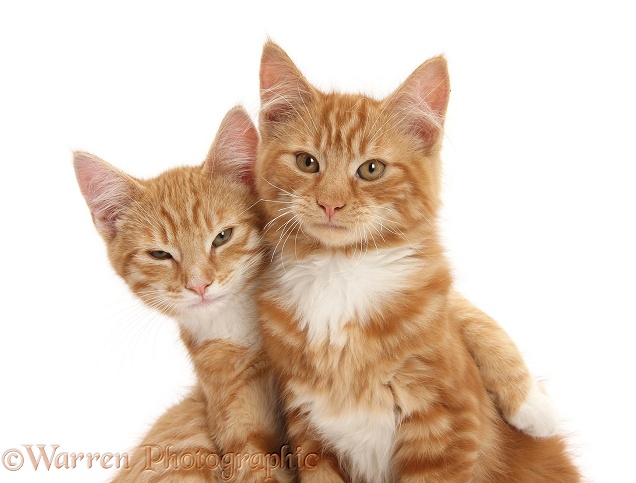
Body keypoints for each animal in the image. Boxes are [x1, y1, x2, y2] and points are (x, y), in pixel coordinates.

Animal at [255, 41, 580, 483]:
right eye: (307, 162)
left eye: (371, 169)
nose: (330, 204)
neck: (340, 276)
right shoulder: (309, 432)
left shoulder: (446, 427)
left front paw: (532, 405)